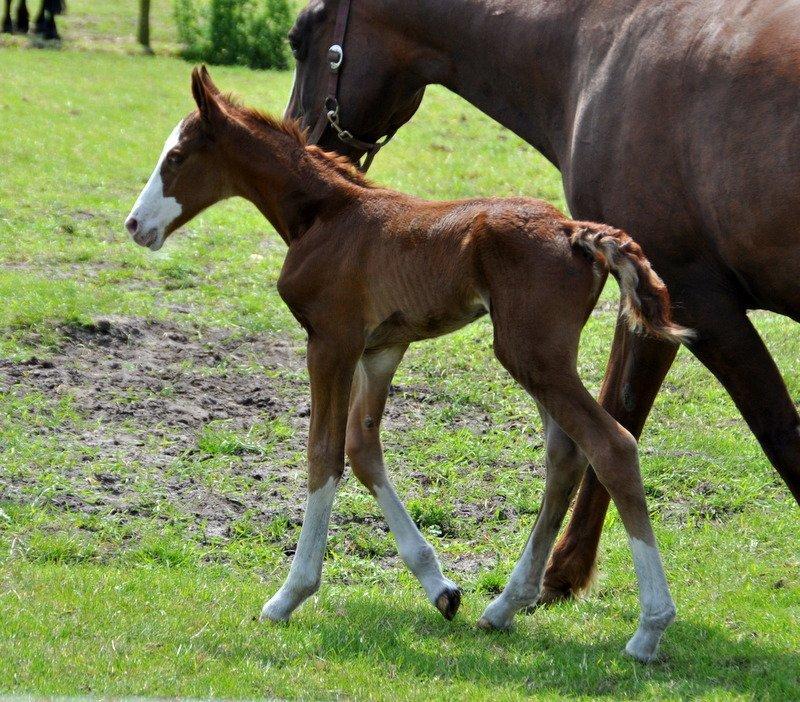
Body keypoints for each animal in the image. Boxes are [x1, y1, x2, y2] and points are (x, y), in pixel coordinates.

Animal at [128, 67, 692, 664]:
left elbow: (323, 454)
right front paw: (440, 588)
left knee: (611, 446)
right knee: (565, 456)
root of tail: (575, 232)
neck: (325, 215)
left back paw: (649, 628)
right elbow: (362, 449)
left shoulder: (330, 341)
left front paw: (289, 595)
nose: (135, 225)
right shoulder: (380, 351)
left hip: (531, 353)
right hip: (541, 358)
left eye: (177, 157)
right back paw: (505, 606)